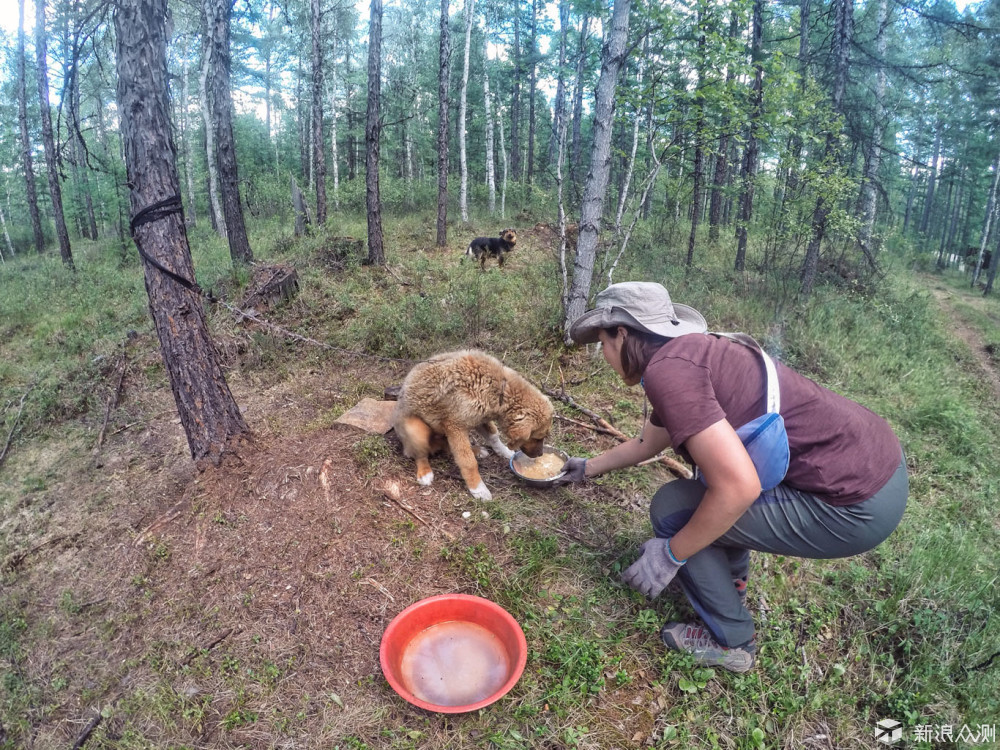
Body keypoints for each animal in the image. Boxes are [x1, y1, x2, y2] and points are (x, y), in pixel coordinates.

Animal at [390, 350, 552, 502]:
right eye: (537, 438)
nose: (540, 455)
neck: (499, 388)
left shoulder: (480, 418)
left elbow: (493, 436)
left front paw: (505, 452)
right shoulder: (455, 426)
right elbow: (468, 462)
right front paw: (478, 489)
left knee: (450, 449)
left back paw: (477, 450)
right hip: (416, 429)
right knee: (421, 455)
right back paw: (425, 473)